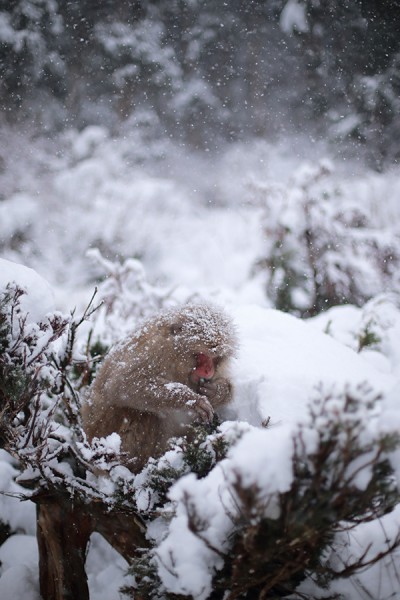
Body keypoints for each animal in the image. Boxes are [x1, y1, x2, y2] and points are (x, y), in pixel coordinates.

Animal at [82, 304, 238, 474]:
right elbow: (122, 385)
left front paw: (217, 391)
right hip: (106, 435)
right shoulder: (154, 352)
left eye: (216, 358)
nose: (209, 371)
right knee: (144, 414)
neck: (174, 355)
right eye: (202, 355)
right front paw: (191, 400)